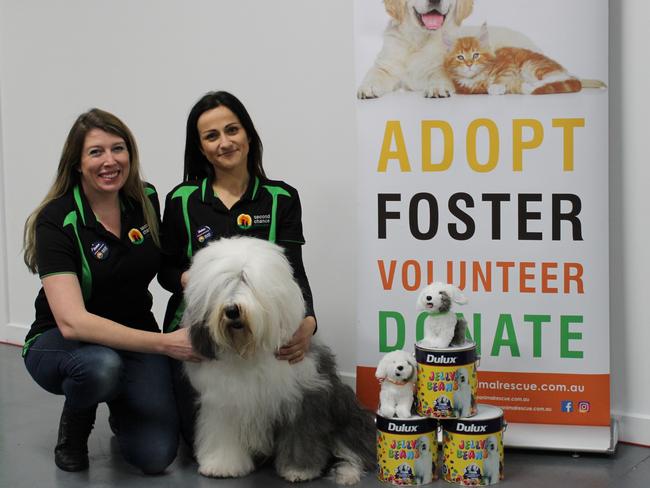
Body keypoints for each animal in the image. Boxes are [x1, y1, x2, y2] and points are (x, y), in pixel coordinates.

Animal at [181, 236, 374, 484]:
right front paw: (222, 466)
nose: (232, 310)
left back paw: (347, 474)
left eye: (245, 280)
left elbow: (300, 439)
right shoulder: (225, 404)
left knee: (356, 452)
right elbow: (224, 435)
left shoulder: (301, 400)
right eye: (222, 286)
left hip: (346, 416)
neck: (248, 350)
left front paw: (299, 471)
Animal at [356, 0, 536, 99]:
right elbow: (375, 74)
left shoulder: (444, 69)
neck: (420, 41)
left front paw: (437, 88)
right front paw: (367, 87)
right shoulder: (385, 66)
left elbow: (438, 77)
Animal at [442, 23, 580, 96]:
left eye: (476, 55)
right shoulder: (468, 88)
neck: (478, 76)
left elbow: (504, 75)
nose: (469, 64)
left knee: (562, 77)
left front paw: (497, 86)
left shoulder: (507, 61)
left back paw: (530, 85)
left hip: (531, 65)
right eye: (460, 57)